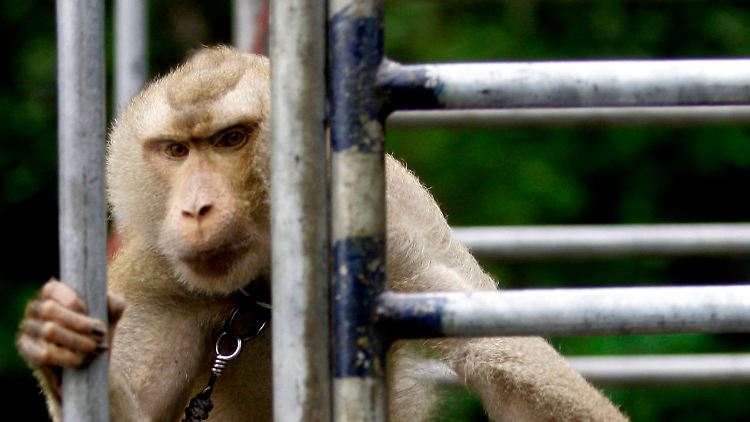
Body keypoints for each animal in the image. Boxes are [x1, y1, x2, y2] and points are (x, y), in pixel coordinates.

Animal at [17, 46, 627, 421]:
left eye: (231, 139)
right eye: (176, 150)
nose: (194, 209)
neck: (260, 285)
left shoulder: (394, 245)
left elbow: (509, 373)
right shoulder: (158, 278)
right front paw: (54, 338)